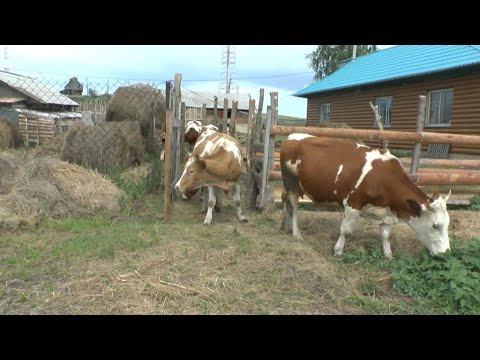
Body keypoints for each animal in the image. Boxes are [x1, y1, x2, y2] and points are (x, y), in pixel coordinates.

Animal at [280, 134, 452, 258]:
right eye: (435, 225)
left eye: (448, 224)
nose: (446, 253)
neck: (384, 178)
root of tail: (292, 137)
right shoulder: (353, 203)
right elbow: (346, 230)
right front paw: (338, 250)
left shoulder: (388, 211)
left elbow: (385, 234)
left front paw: (388, 254)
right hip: (291, 182)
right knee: (294, 207)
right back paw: (296, 234)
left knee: (285, 203)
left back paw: (285, 227)